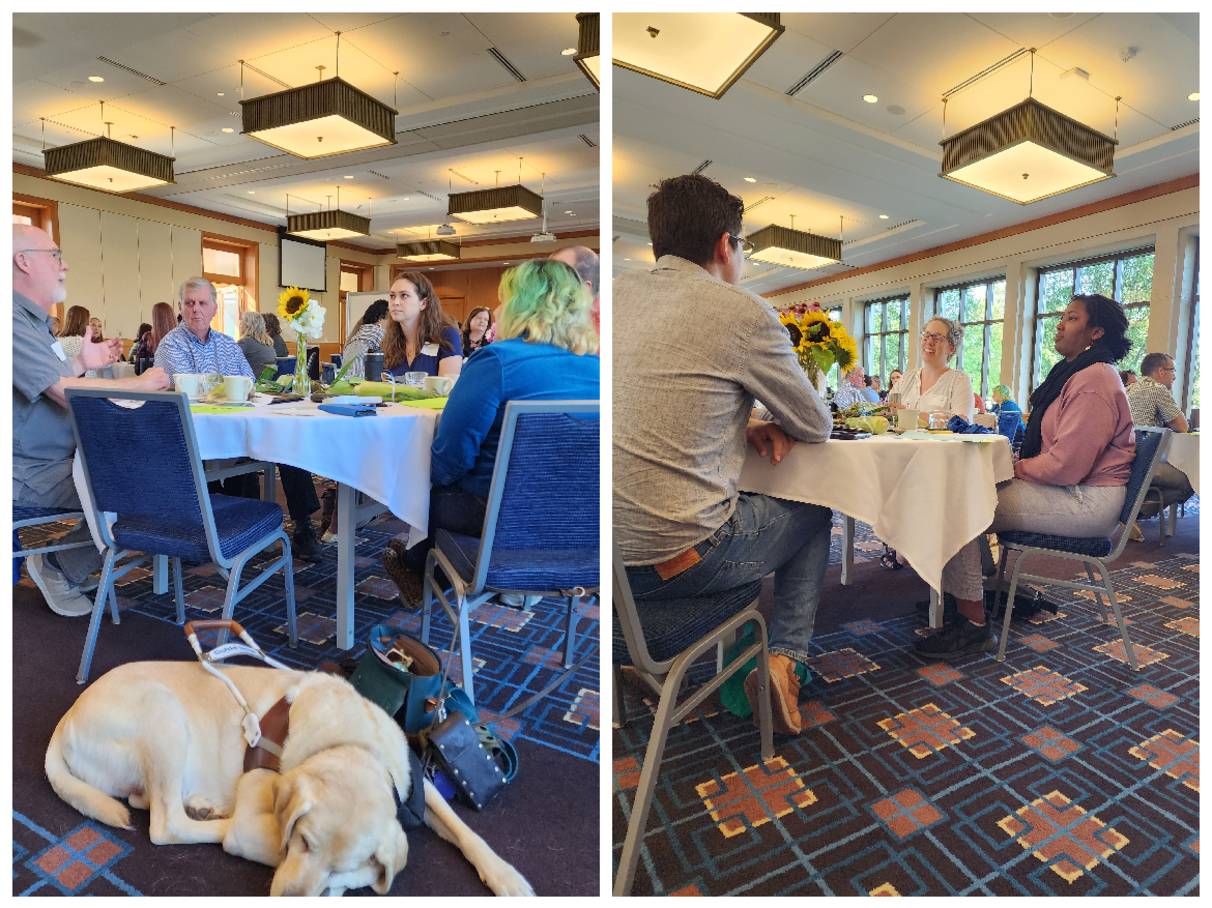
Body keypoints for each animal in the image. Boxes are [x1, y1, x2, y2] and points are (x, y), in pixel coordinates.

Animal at [47, 659, 530, 892]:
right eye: (303, 842)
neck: (351, 741)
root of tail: (65, 718)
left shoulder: (416, 786)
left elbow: (465, 830)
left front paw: (508, 878)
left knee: (145, 800)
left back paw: (199, 803)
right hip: (161, 712)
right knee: (165, 824)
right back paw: (212, 816)